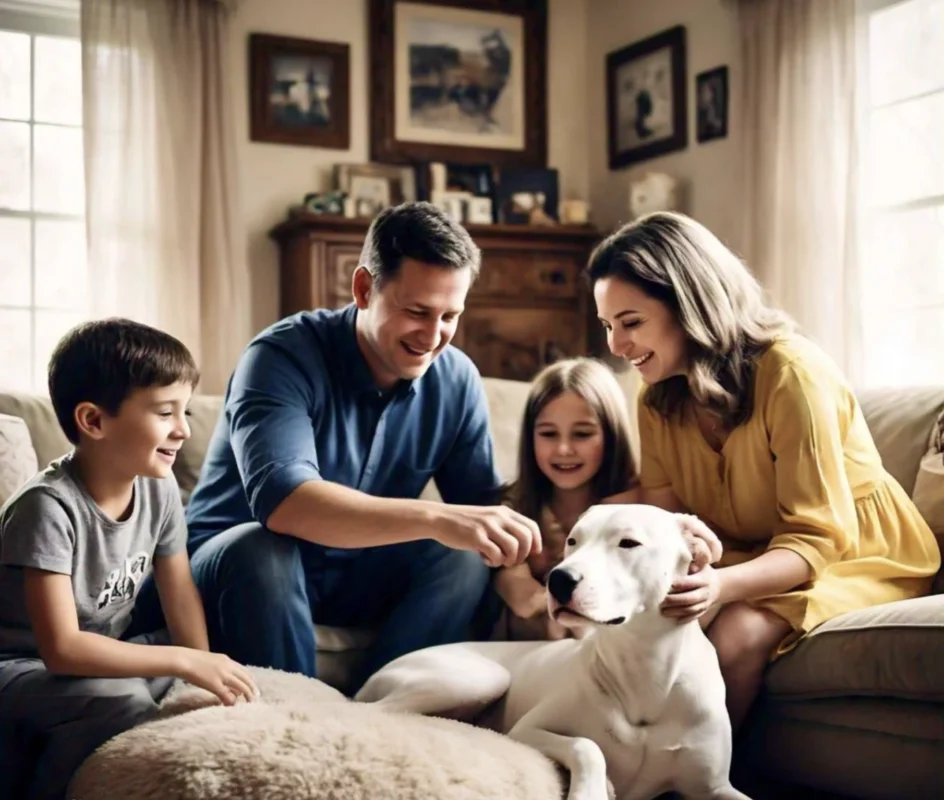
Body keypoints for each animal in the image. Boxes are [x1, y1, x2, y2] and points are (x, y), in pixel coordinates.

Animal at [354, 506, 752, 800]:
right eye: (574, 541)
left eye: (629, 543)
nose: (558, 579)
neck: (643, 662)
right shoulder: (526, 730)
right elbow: (587, 745)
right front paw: (593, 790)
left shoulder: (715, 787)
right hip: (480, 677)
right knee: (376, 712)